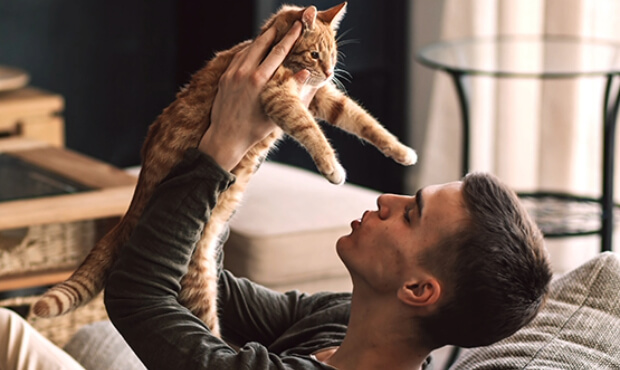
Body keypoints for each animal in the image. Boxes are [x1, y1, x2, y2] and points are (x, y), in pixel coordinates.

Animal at [31, 1, 414, 336]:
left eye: (333, 55)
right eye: (315, 54)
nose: (331, 71)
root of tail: (130, 210)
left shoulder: (321, 97)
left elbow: (364, 121)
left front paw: (402, 152)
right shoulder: (279, 96)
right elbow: (313, 133)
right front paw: (333, 168)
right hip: (198, 282)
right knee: (208, 330)